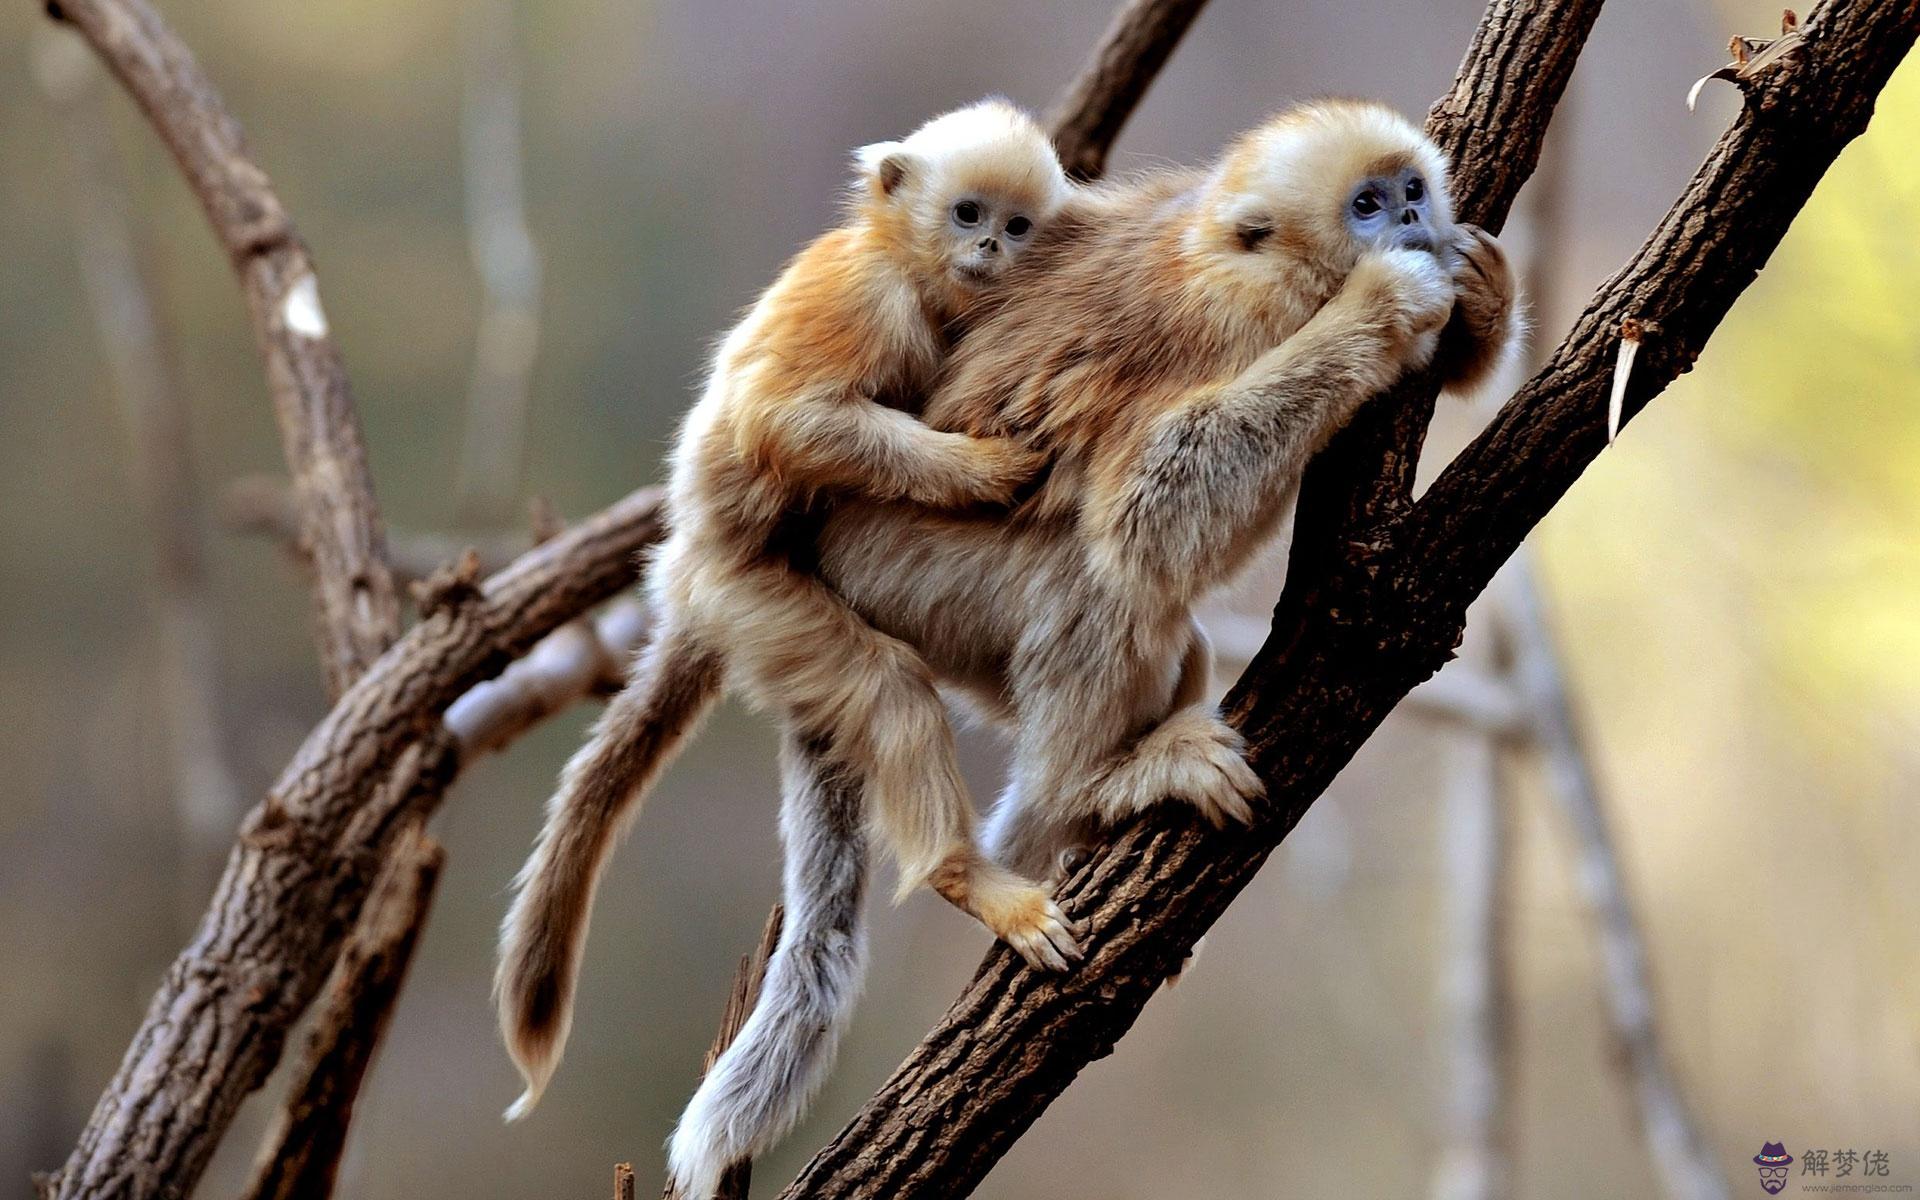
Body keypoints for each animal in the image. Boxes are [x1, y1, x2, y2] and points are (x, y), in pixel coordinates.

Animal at [499, 98, 1082, 1128]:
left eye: (1016, 227)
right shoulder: (865, 300)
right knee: (888, 689)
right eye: (968, 214)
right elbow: (785, 419)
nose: (989, 252)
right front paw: (983, 469)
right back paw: (966, 876)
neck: (914, 275)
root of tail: (685, 575)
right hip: (754, 602)